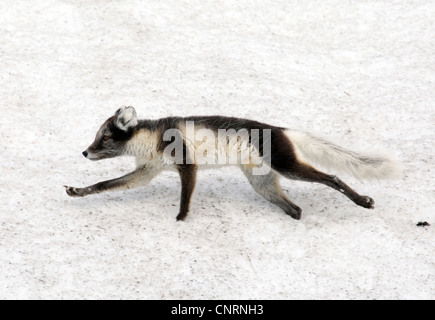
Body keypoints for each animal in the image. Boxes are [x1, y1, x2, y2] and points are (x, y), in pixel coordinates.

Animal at [64, 106, 402, 221]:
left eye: (105, 137)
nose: (85, 152)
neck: (152, 138)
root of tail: (281, 129)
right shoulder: (146, 171)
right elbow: (104, 185)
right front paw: (77, 191)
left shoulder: (186, 164)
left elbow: (186, 194)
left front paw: (181, 218)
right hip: (263, 183)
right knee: (296, 208)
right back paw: (294, 220)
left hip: (287, 165)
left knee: (332, 177)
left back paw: (363, 201)